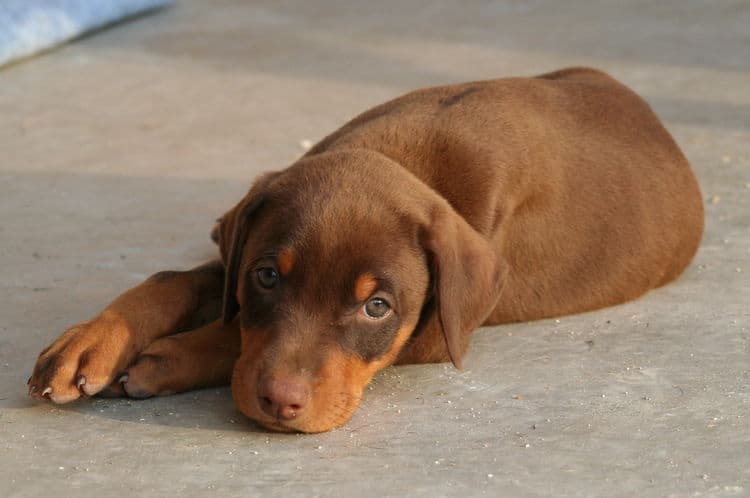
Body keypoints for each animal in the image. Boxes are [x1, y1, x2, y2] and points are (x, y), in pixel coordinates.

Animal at [25, 68, 704, 434]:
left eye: (377, 307)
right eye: (267, 276)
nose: (280, 402)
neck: (407, 158)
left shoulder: (434, 333)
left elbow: (229, 331)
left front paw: (165, 359)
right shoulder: (241, 252)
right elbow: (178, 279)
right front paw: (90, 342)